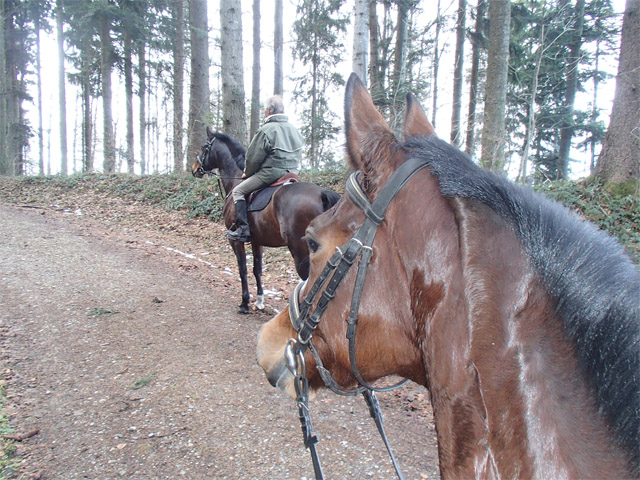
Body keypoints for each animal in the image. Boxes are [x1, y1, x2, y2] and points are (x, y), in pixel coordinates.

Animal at [191, 128, 340, 316]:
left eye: (205, 147)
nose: (194, 169)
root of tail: (322, 194)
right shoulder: (257, 241)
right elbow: (257, 270)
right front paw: (260, 301)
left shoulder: (235, 240)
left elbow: (243, 269)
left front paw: (244, 303)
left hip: (301, 251)